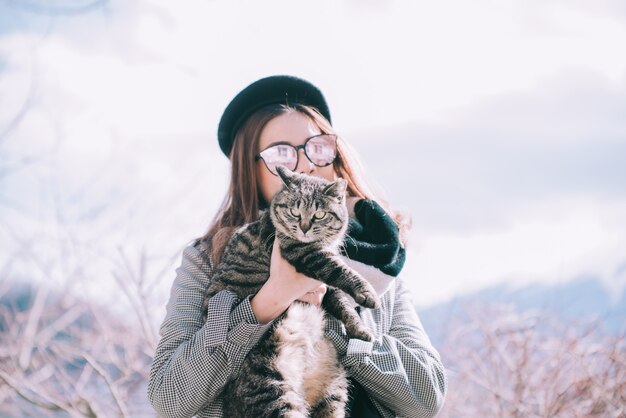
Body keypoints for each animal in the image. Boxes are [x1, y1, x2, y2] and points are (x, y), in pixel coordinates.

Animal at [205, 167, 378, 418]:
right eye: (294, 212)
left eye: (319, 215)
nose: (304, 228)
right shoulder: (306, 254)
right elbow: (342, 271)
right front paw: (368, 293)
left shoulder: (324, 288)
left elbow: (342, 304)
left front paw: (361, 330)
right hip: (274, 391)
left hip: (334, 394)